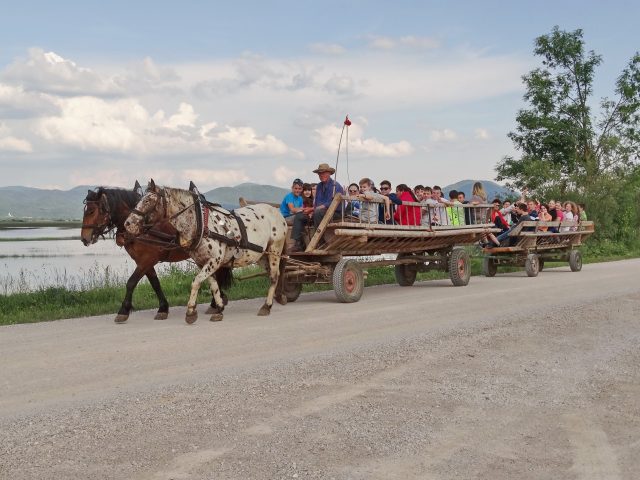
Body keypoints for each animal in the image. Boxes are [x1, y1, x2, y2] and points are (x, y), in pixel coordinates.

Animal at [80, 182, 230, 324]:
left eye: (92, 211)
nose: (84, 238)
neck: (144, 230)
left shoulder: (148, 259)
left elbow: (131, 282)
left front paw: (123, 311)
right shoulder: (143, 261)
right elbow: (155, 283)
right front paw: (163, 308)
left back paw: (216, 303)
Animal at [123, 182, 288, 324]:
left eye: (148, 200)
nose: (128, 223)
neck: (201, 224)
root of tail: (277, 212)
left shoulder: (214, 260)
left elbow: (196, 282)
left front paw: (190, 311)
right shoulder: (202, 262)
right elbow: (213, 285)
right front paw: (219, 309)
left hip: (274, 250)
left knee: (274, 276)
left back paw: (267, 306)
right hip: (260, 255)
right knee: (273, 274)